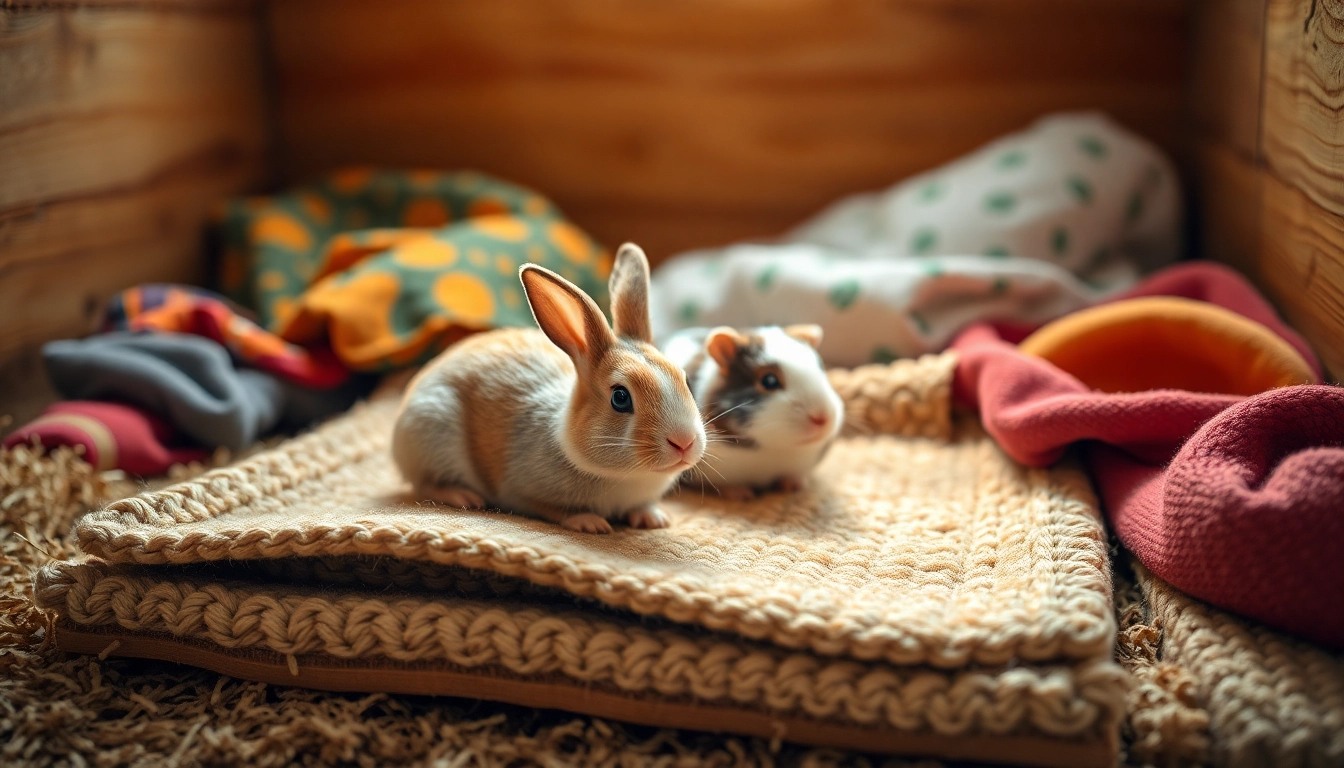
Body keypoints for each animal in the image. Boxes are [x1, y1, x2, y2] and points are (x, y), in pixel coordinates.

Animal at [391, 243, 707, 533]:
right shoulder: (520, 493)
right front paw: (590, 522)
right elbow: (552, 509)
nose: (684, 442)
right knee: (424, 485)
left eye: (686, 380)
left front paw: (653, 519)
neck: (629, 476)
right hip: (430, 432)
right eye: (620, 397)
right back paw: (463, 496)